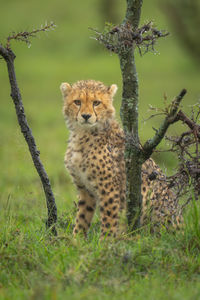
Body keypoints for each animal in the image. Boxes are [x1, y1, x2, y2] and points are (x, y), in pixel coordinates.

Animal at [60, 80, 182, 239]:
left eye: (96, 103)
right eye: (77, 102)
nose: (86, 116)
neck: (83, 134)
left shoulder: (109, 190)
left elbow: (108, 221)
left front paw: (105, 243)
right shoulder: (85, 190)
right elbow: (81, 219)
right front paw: (76, 241)